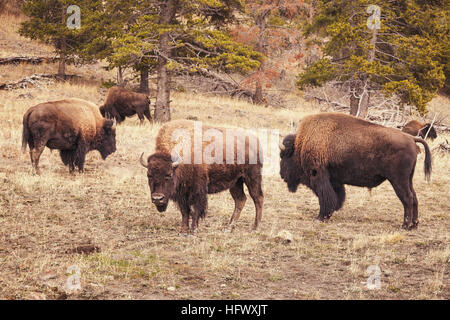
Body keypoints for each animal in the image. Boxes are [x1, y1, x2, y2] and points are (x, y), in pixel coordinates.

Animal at [280, 112, 430, 230]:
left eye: (284, 156)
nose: (282, 175)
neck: (301, 145)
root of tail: (411, 138)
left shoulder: (319, 177)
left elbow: (325, 198)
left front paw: (320, 217)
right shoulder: (334, 181)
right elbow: (337, 197)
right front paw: (329, 214)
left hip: (398, 180)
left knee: (407, 199)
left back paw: (405, 225)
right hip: (408, 179)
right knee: (414, 197)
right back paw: (414, 225)